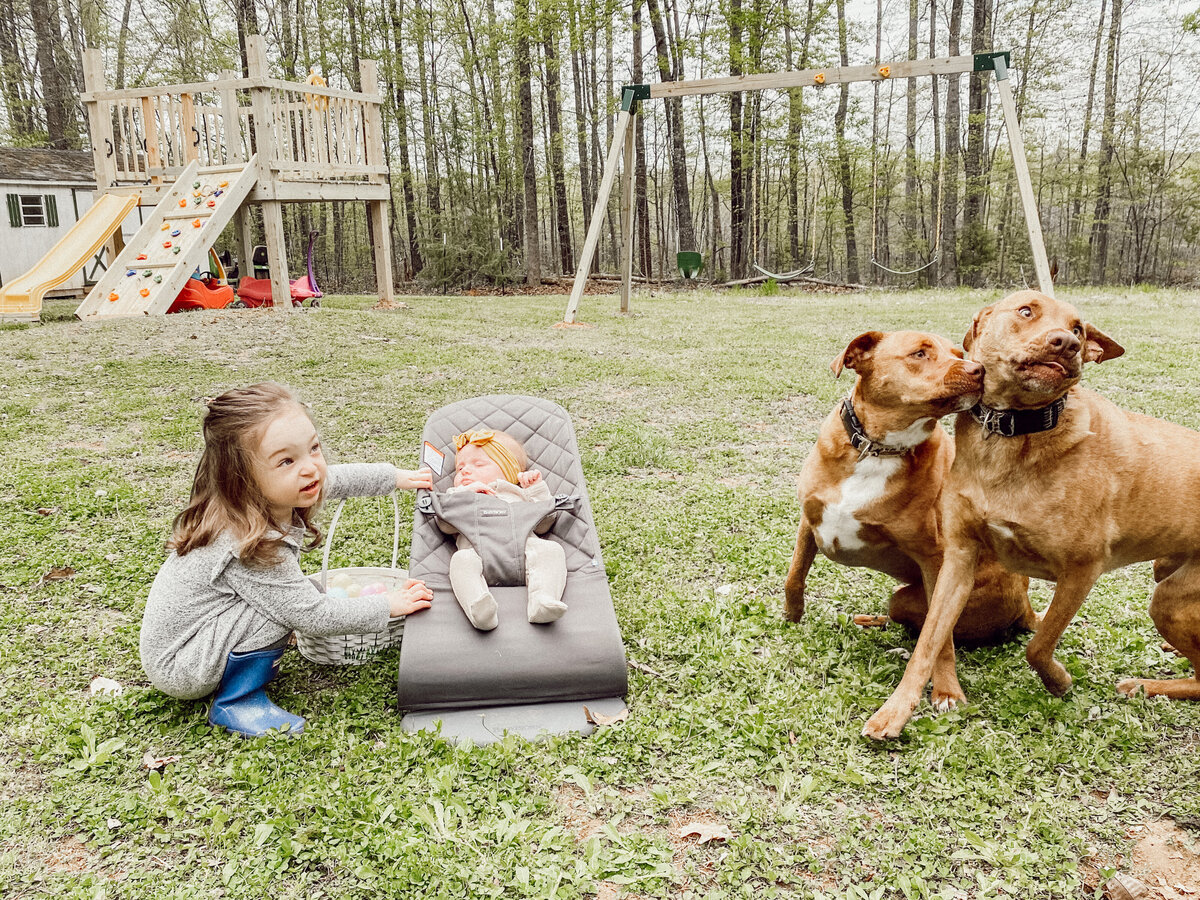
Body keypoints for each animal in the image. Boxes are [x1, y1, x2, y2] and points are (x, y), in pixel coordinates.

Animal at [787, 331, 1032, 657]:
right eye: (919, 354)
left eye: (959, 354)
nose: (978, 370)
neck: (878, 449)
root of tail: (1026, 601)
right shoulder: (809, 519)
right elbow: (795, 574)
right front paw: (791, 617)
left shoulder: (933, 558)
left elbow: (938, 635)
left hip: (906, 599)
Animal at [868, 292, 1200, 744]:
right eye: (1026, 311)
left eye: (1079, 329)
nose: (1066, 343)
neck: (1015, 433)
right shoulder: (958, 560)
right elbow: (929, 643)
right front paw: (895, 712)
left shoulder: (1081, 570)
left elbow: (1038, 645)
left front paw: (1058, 681)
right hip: (1168, 584)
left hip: (1170, 601)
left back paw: (1147, 684)